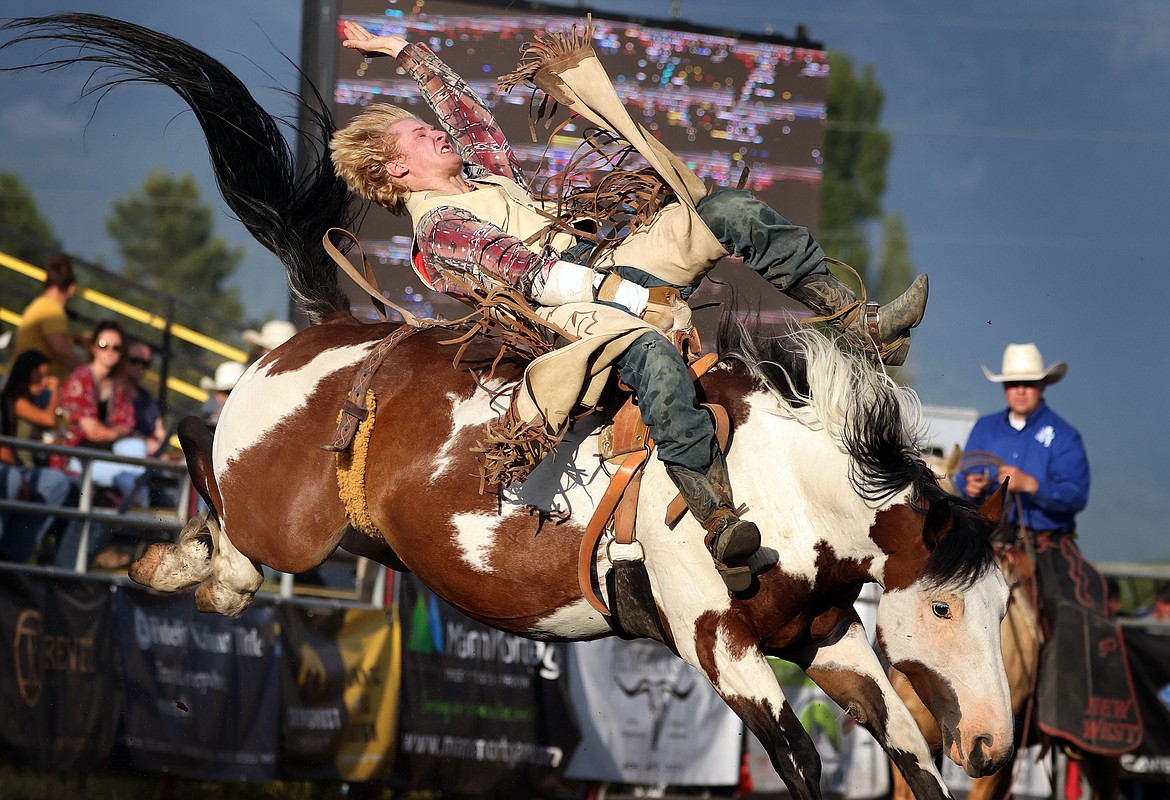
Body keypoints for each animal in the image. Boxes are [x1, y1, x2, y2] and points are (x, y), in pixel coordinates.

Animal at [4, 14, 1015, 799]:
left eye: (1006, 602)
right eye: (940, 609)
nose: (993, 745)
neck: (789, 488)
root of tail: (319, 335)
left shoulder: (830, 635)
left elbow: (911, 755)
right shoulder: (715, 643)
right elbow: (803, 762)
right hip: (278, 518)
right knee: (197, 449)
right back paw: (181, 566)